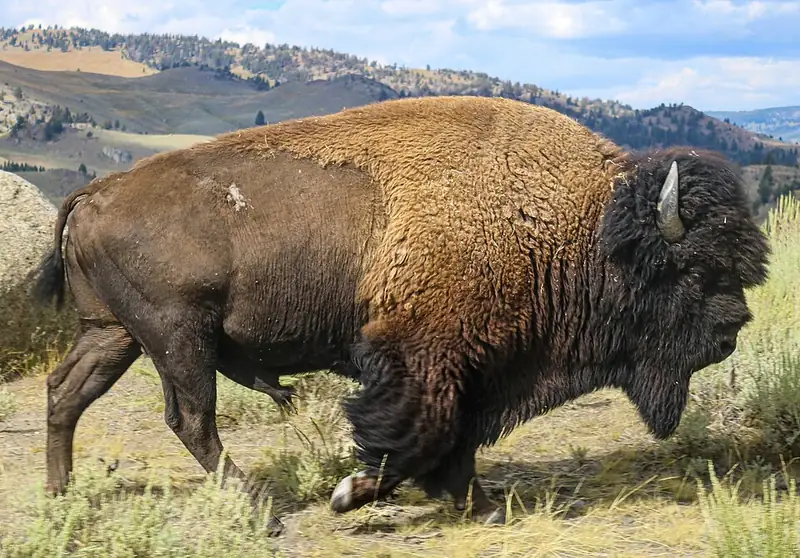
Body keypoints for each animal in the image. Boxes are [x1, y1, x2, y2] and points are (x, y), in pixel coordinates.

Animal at [33, 96, 770, 532]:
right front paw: (351, 493)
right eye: (693, 270)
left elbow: (457, 438)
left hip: (114, 335)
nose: (732, 329)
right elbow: (419, 433)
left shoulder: (476, 367)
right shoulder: (426, 357)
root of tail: (97, 191)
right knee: (191, 418)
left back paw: (62, 498)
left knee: (66, 393)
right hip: (178, 337)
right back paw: (259, 511)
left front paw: (480, 505)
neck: (580, 225)